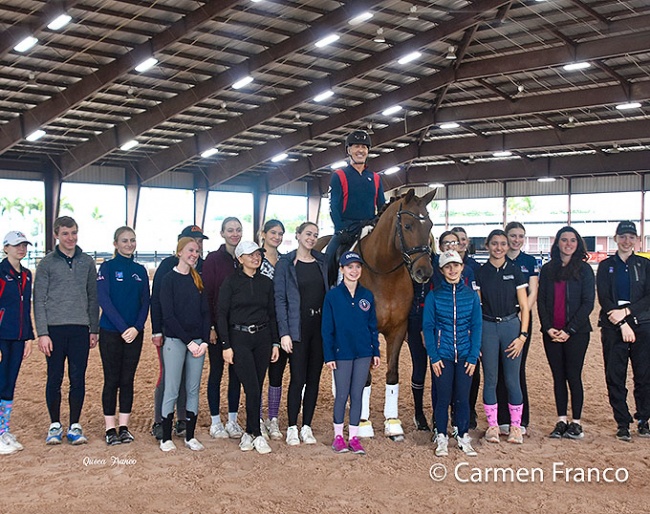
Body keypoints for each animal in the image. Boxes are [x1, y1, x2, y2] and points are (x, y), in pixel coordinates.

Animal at [316, 188, 432, 440]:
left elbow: (392, 374)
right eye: (407, 226)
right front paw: (363, 424)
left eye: (429, 225)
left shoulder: (398, 330)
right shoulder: (364, 331)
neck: (383, 273)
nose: (424, 272)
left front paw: (393, 425)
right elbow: (365, 377)